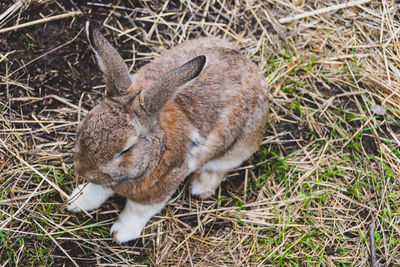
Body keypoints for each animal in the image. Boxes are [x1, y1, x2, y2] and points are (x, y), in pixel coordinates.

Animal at [66, 22, 268, 244]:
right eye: (84, 125)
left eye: (127, 149)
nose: (83, 171)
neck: (159, 147)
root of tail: (252, 69)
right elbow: (99, 189)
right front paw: (76, 202)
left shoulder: (160, 190)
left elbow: (138, 210)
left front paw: (121, 233)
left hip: (239, 147)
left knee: (219, 167)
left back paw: (201, 187)